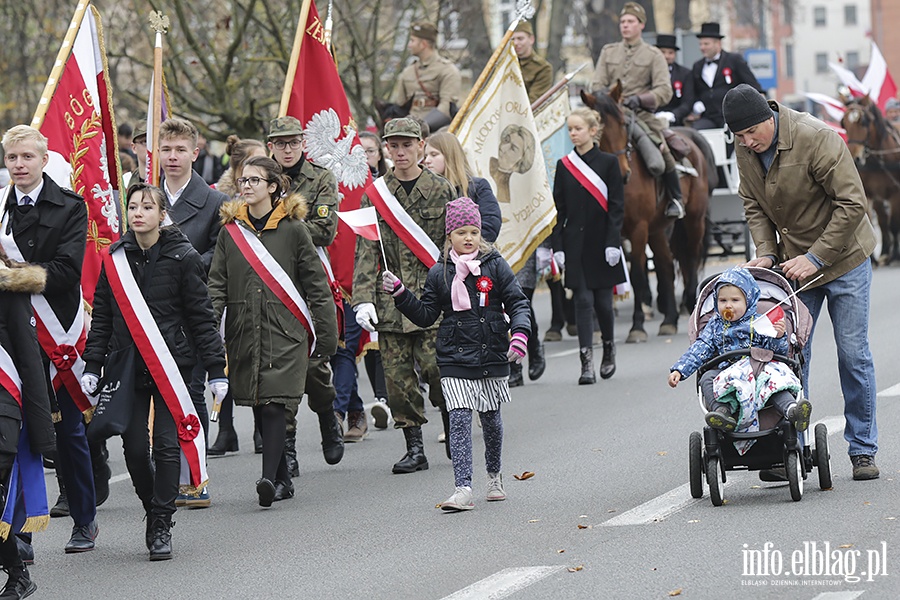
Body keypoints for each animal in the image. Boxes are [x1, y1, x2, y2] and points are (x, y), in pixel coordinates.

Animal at [580, 86, 712, 344]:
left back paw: (689, 303)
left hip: (693, 221)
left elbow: (638, 276)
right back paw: (669, 320)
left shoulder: (637, 229)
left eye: (623, 123)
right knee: (666, 266)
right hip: (658, 230)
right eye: (597, 127)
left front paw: (637, 326)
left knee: (691, 257)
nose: (623, 173)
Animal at [844, 96, 900, 262]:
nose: (855, 158)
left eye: (864, 122)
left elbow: (894, 224)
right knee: (882, 220)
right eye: (844, 123)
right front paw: (876, 258)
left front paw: (894, 255)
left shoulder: (895, 193)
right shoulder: (868, 194)